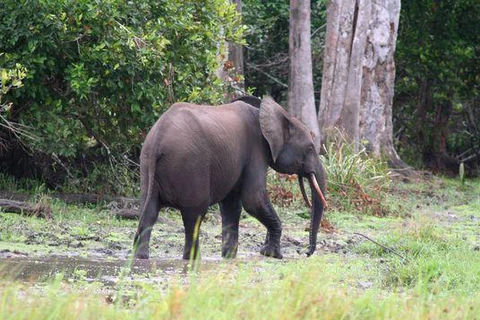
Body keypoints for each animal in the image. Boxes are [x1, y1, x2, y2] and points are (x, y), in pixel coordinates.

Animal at [133, 95, 328, 260]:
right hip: (190, 165)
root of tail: (158, 139)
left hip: (147, 165)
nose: (305, 253)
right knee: (194, 214)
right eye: (310, 148)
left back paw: (141, 257)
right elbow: (253, 200)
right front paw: (272, 255)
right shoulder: (256, 150)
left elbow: (232, 206)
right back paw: (193, 259)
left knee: (150, 210)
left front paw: (229, 257)